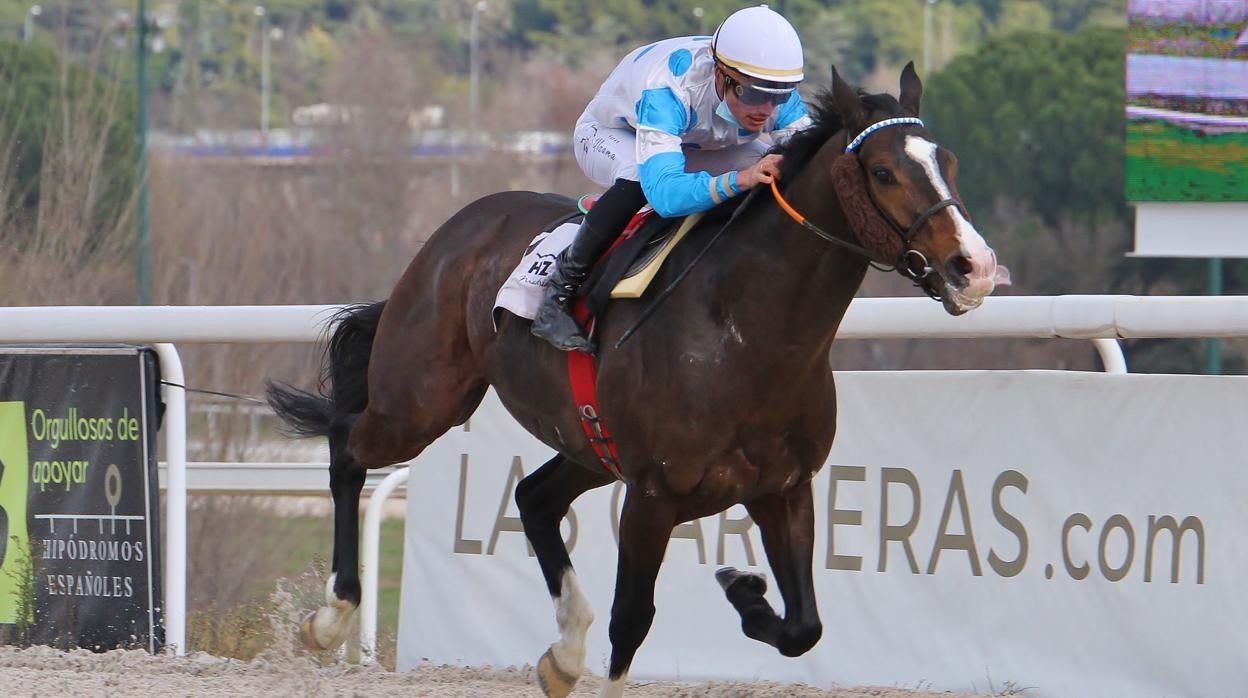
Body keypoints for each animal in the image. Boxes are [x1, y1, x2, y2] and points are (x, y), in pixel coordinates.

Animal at [265, 62, 1003, 694]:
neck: (749, 330)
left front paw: (743, 589)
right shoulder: (653, 494)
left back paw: (564, 651)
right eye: (883, 171)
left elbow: (804, 627)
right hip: (422, 401)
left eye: (948, 163)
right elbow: (633, 620)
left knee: (533, 498)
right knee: (347, 446)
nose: (974, 268)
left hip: (588, 443)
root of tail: (457, 226)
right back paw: (331, 614)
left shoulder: (783, 488)